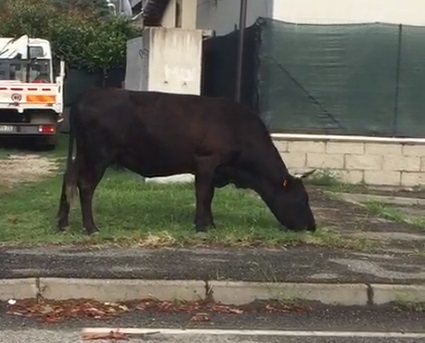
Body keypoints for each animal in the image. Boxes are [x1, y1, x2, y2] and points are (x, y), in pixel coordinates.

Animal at [56, 87, 316, 235]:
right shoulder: (207, 160)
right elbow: (204, 193)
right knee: (85, 185)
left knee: (68, 178)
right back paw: (91, 228)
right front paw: (202, 226)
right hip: (99, 154)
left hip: (84, 153)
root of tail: (84, 96)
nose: (312, 227)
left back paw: (62, 223)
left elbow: (209, 195)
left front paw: (210, 223)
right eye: (302, 199)